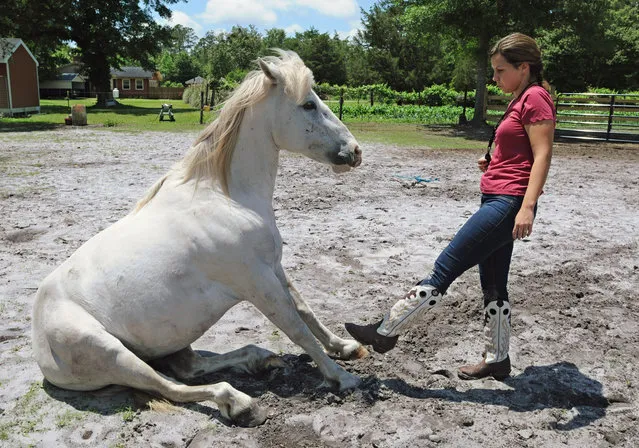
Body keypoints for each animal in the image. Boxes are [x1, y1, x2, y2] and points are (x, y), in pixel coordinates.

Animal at [31, 50, 364, 428]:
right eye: (308, 104)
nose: (354, 151)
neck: (226, 197)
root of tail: (39, 337)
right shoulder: (257, 282)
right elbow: (296, 328)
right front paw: (341, 377)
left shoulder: (273, 268)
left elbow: (306, 310)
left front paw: (345, 347)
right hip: (111, 353)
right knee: (170, 385)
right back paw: (241, 402)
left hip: (171, 343)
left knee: (190, 368)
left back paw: (259, 359)